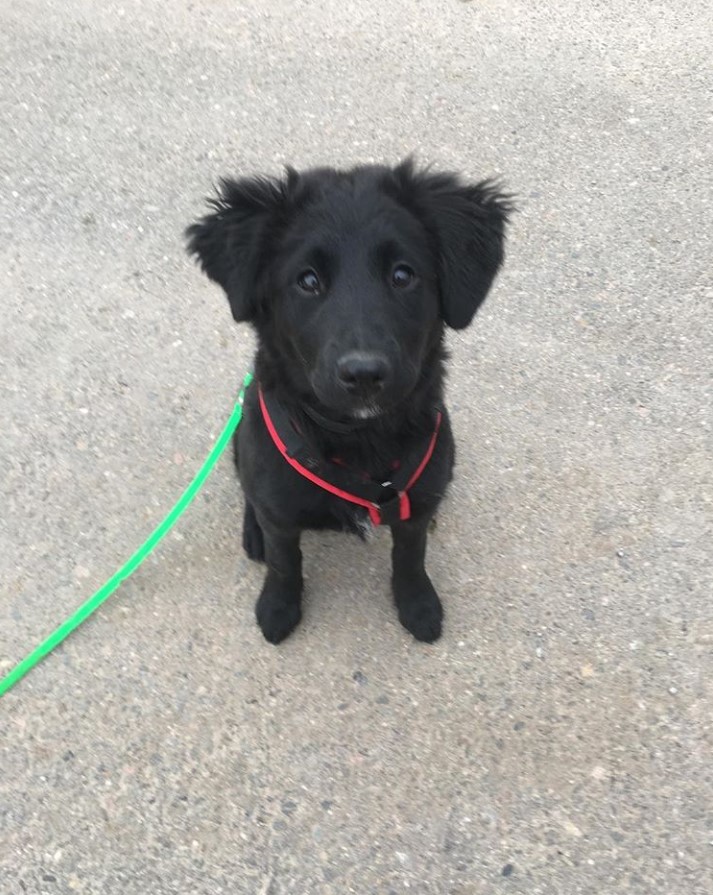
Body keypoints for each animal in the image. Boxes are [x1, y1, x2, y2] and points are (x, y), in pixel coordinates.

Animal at [186, 161, 508, 644]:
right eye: (307, 281)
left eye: (402, 275)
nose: (364, 374)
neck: (360, 436)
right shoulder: (280, 511)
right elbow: (284, 562)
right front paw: (278, 608)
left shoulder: (413, 510)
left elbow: (411, 555)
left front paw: (417, 604)